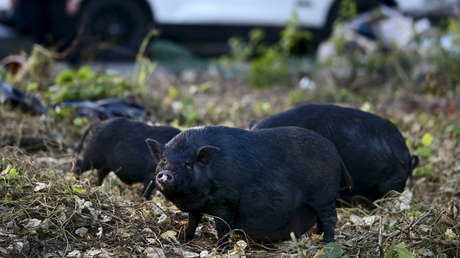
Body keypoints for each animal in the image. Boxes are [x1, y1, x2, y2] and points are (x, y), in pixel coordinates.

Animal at [145, 125, 348, 246]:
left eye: (187, 163)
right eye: (164, 160)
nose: (166, 174)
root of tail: (336, 152)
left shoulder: (225, 203)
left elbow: (222, 227)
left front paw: (221, 248)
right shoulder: (197, 206)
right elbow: (193, 220)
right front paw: (182, 238)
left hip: (323, 195)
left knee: (330, 218)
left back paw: (326, 243)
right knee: (321, 219)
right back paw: (318, 236)